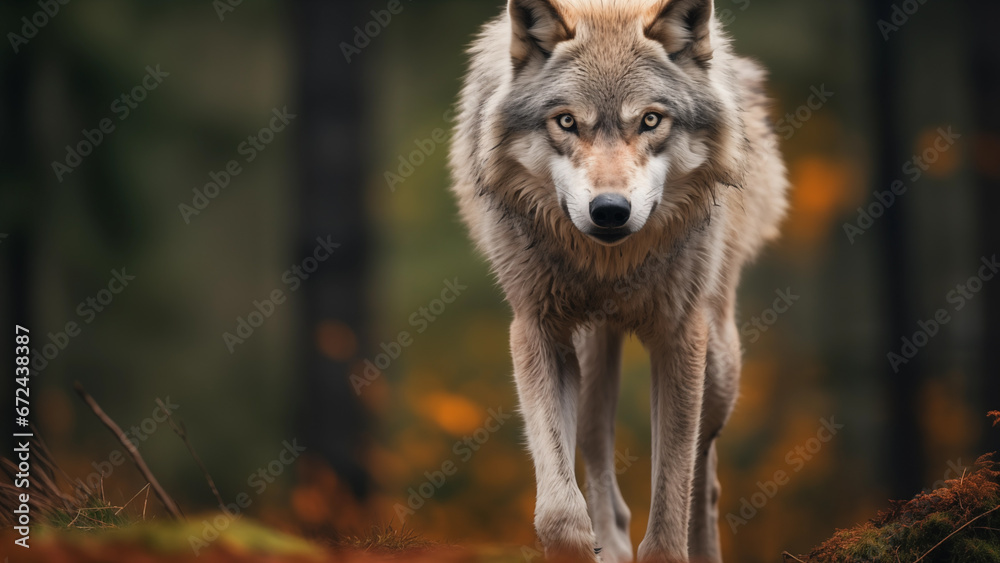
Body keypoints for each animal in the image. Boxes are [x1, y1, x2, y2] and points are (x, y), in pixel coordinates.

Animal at [448, 0, 788, 561]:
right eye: (566, 121)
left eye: (650, 119)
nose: (609, 210)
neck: (609, 267)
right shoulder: (537, 330)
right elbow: (560, 514)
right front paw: (580, 544)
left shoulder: (679, 337)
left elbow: (672, 494)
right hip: (591, 358)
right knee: (598, 453)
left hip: (718, 363)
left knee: (706, 473)